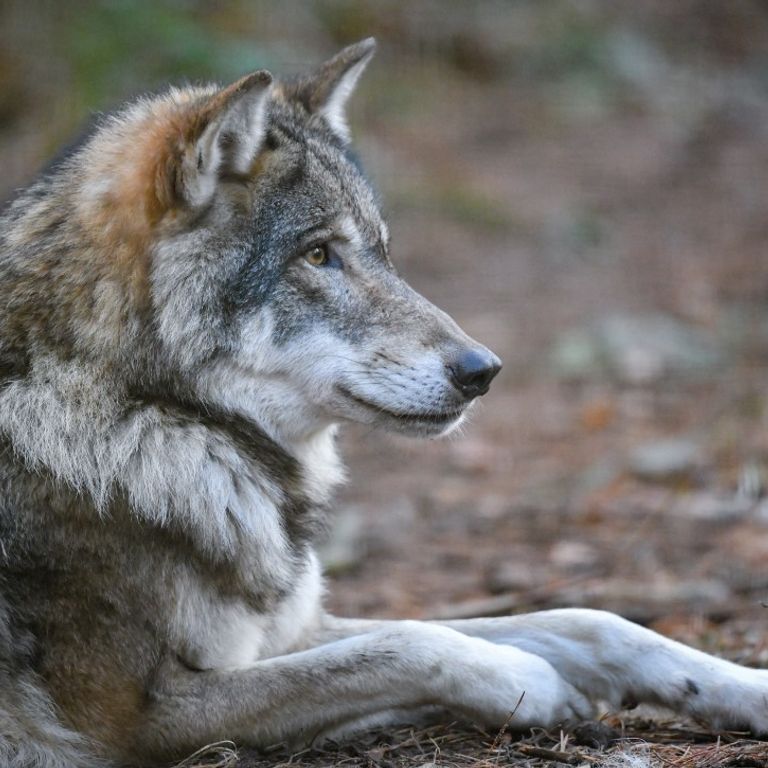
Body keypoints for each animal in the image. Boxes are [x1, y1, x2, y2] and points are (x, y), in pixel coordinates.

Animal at [0, 39, 764, 768]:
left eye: (383, 253)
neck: (156, 415)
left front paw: (744, 686)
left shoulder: (293, 629)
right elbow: (409, 642)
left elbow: (586, 619)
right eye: (317, 255)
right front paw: (532, 682)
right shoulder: (134, 716)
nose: (483, 371)